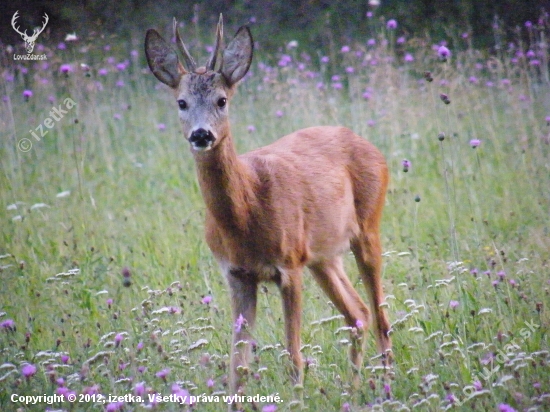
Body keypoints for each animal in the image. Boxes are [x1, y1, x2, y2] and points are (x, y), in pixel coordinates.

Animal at [144, 16, 394, 400]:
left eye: (222, 100)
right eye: (181, 102)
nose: (201, 135)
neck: (245, 215)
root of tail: (368, 144)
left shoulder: (288, 265)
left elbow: (294, 357)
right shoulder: (237, 275)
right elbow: (238, 366)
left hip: (367, 227)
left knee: (381, 318)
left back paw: (386, 387)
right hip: (322, 256)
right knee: (358, 313)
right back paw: (352, 390)